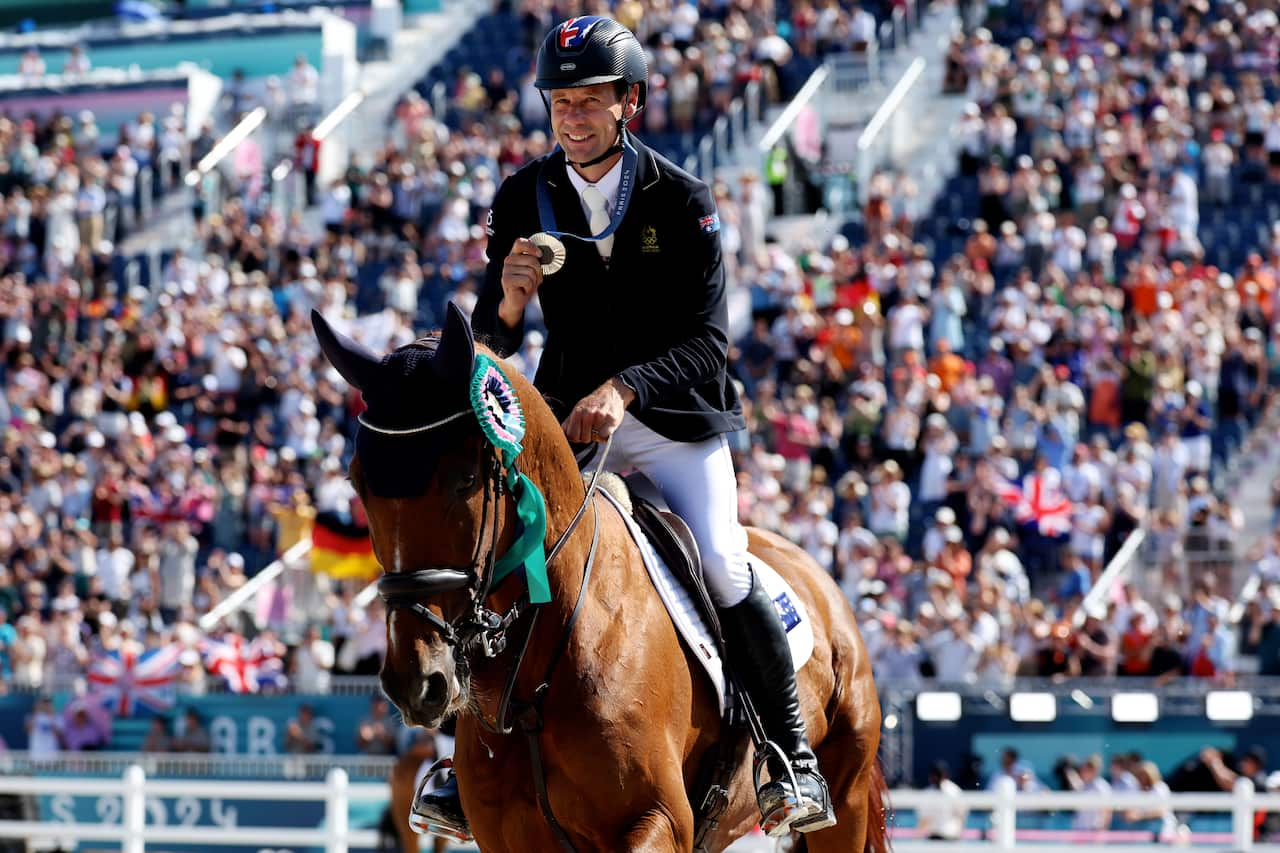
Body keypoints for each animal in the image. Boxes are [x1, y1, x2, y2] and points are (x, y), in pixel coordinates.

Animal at [314, 307, 885, 850]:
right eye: (357, 484)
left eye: (465, 480)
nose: (417, 681)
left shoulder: (658, 822)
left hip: (848, 796)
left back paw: (798, 782)